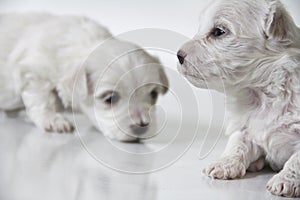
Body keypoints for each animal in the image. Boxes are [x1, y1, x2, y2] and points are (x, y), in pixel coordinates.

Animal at [0, 12, 169, 142]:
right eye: (110, 99)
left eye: (153, 94)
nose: (142, 127)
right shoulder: (33, 71)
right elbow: (42, 99)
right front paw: (54, 120)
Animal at [177, 0, 300, 197]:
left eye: (219, 32)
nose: (178, 55)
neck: (261, 94)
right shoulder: (245, 125)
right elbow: (237, 143)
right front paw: (223, 164)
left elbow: (296, 160)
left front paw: (285, 180)